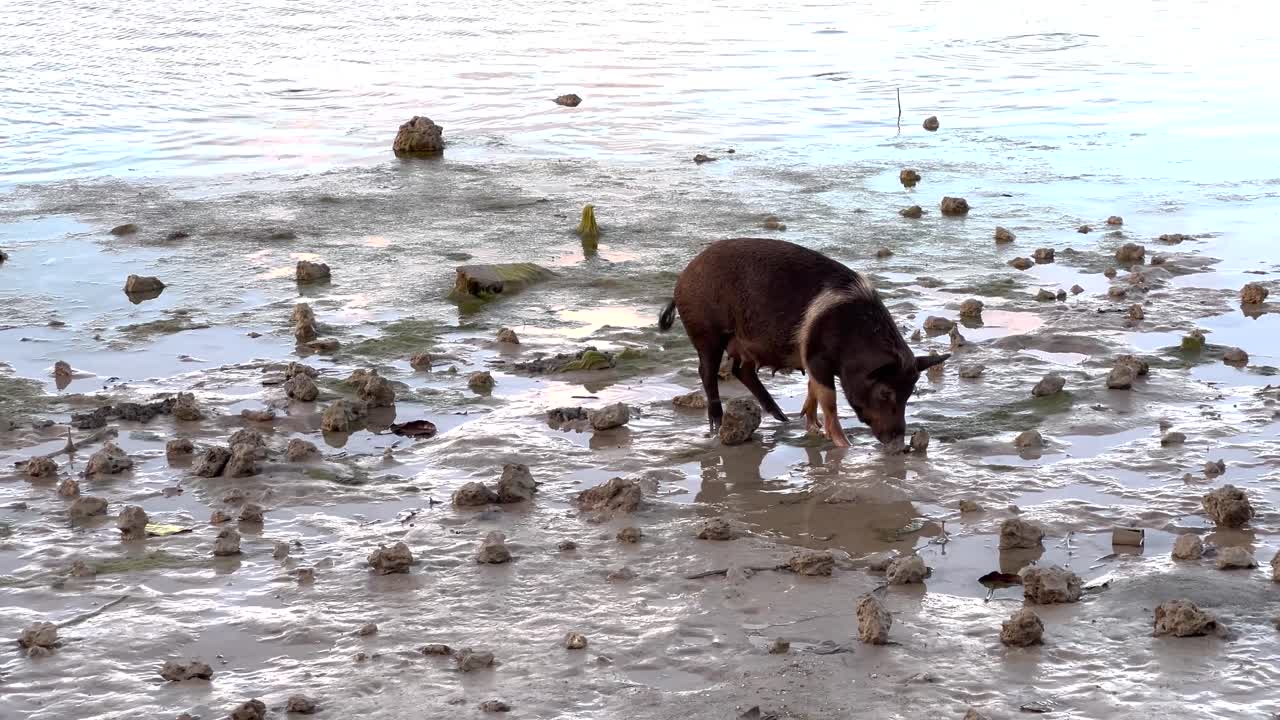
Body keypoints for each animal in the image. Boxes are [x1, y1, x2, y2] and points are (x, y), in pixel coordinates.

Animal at [658, 238, 947, 448]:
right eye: (886, 392)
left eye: (909, 392)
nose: (899, 443)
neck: (851, 337)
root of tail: (681, 279)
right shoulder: (818, 359)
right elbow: (828, 399)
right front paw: (844, 444)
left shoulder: (810, 357)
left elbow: (812, 391)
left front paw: (811, 427)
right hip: (706, 333)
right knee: (707, 372)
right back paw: (717, 426)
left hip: (743, 345)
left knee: (741, 371)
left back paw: (782, 418)